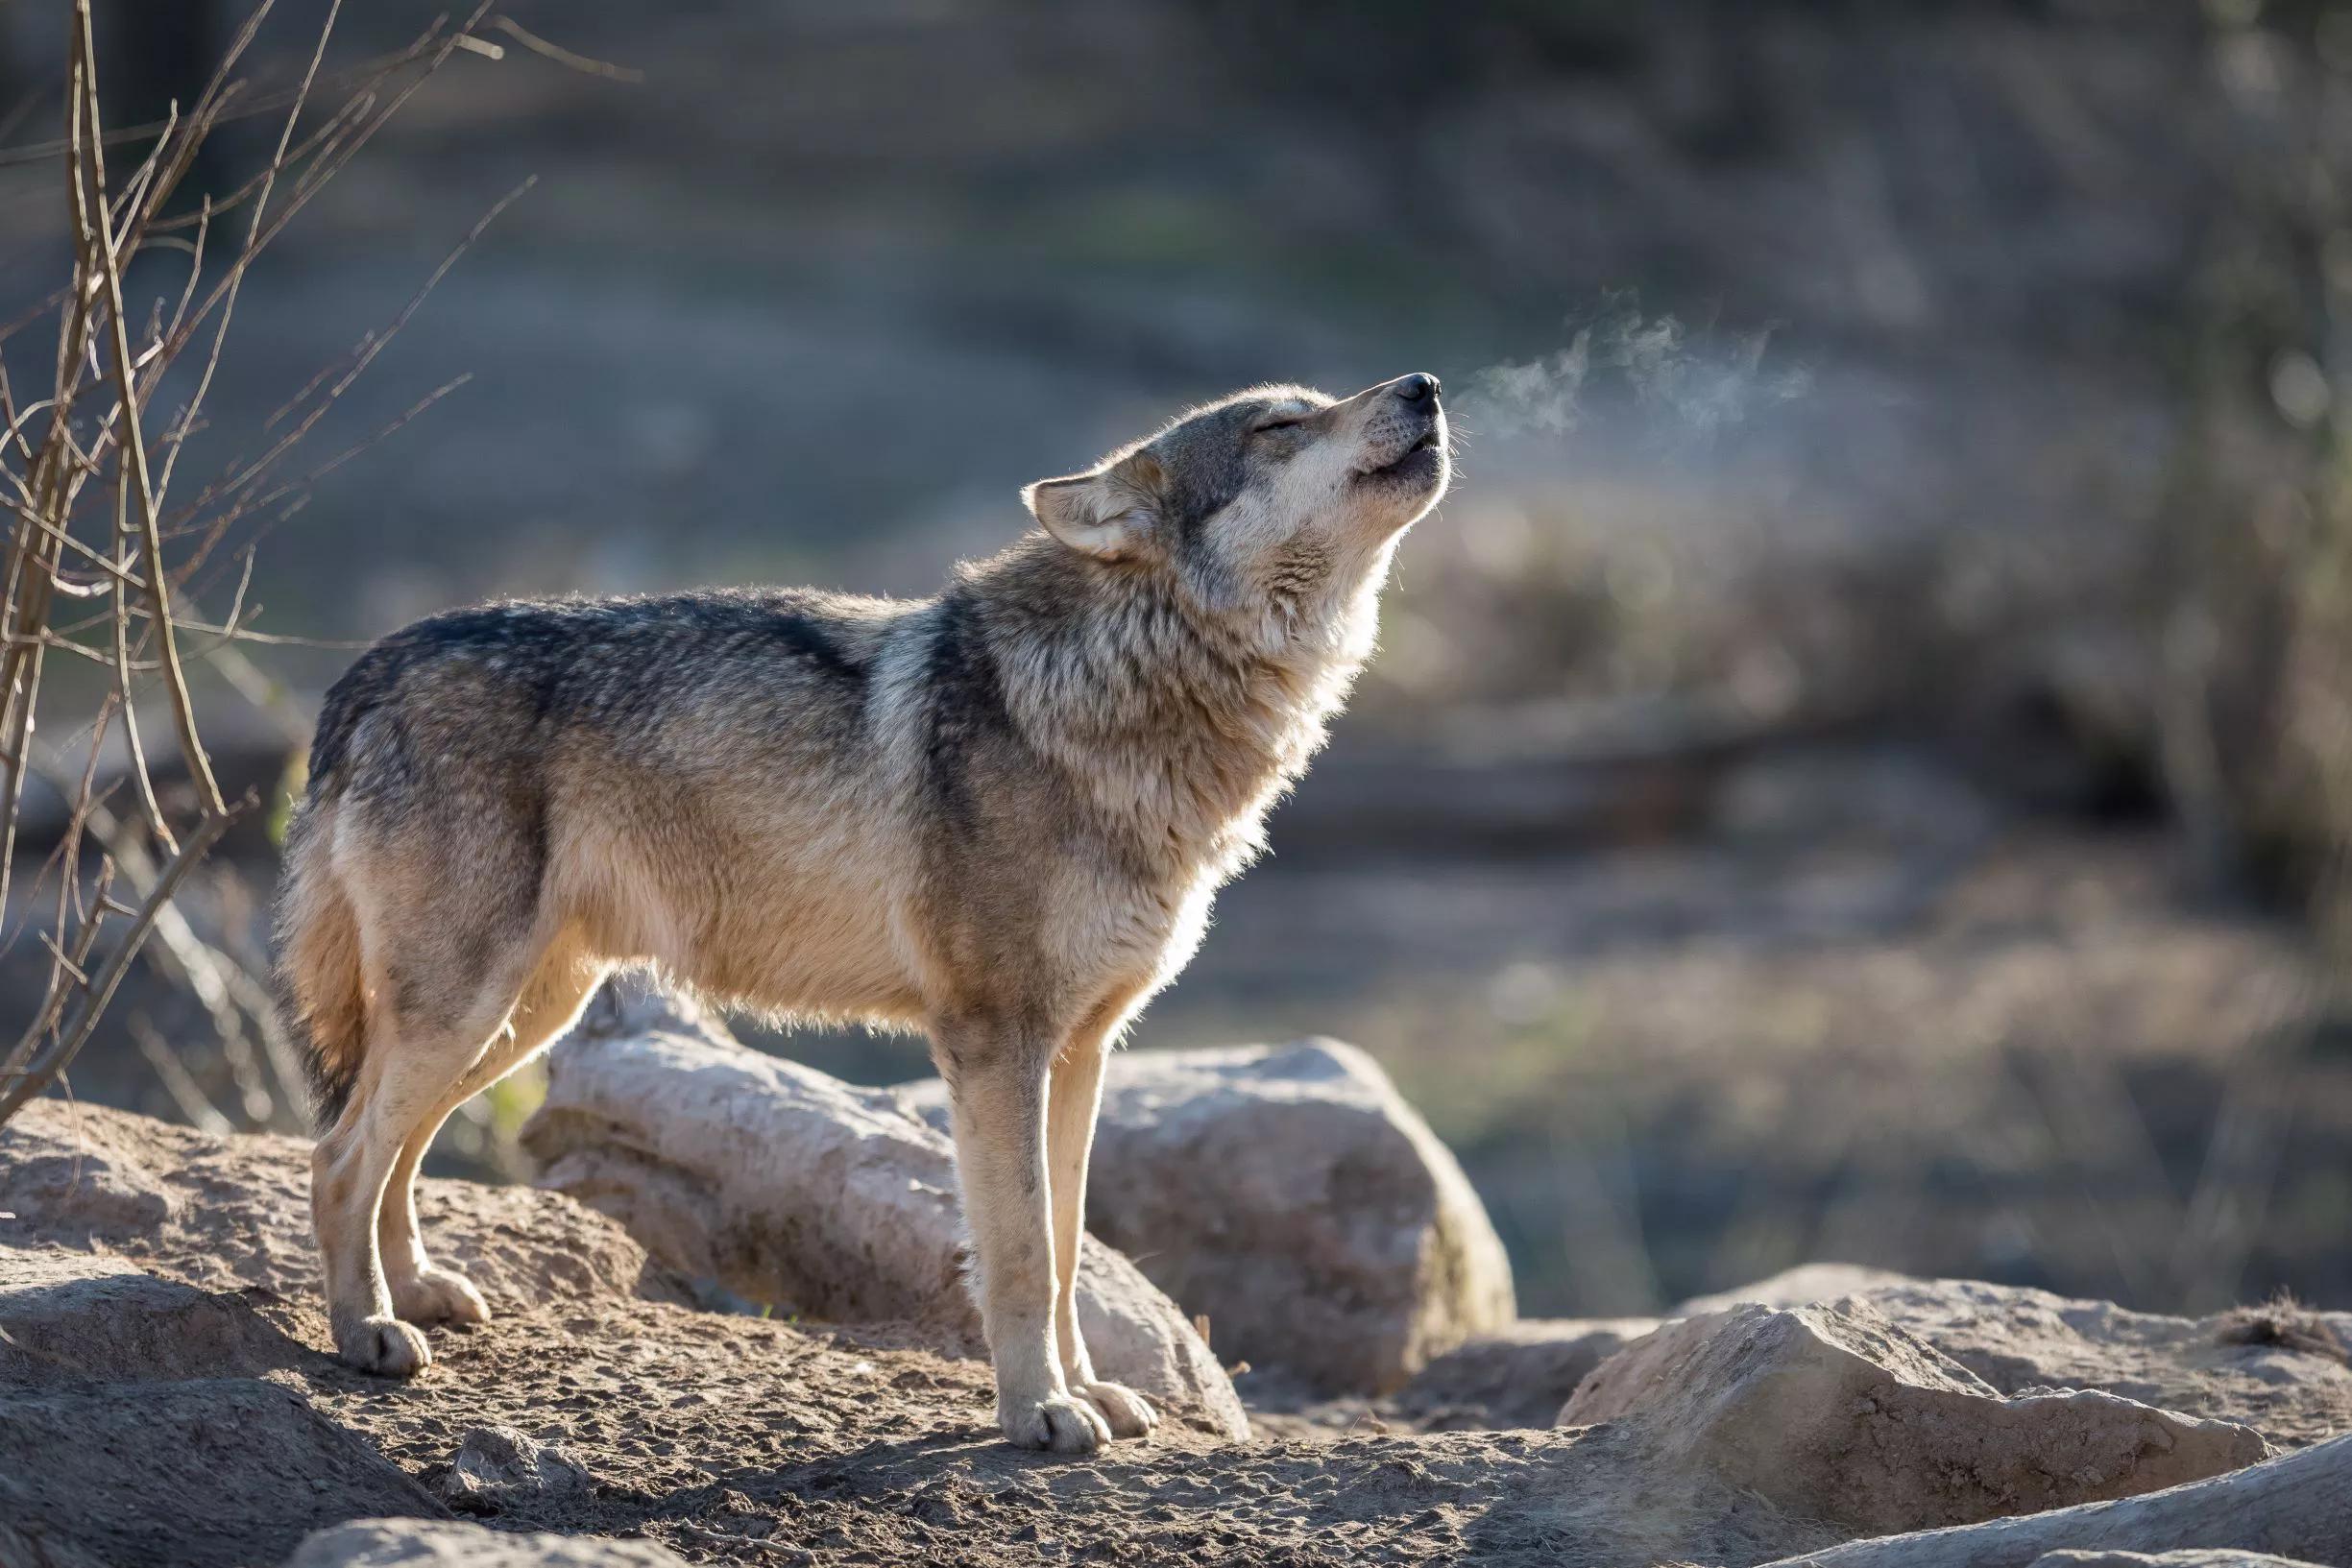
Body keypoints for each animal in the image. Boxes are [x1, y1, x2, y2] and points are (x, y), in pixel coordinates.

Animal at [275, 374, 1448, 1457]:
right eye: (1280, 426)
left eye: (1315, 401)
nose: (1424, 385)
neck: (1115, 690)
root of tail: (369, 667)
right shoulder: (993, 1043)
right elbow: (1022, 1252)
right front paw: (1038, 1411)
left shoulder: (1082, 1048)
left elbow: (1069, 1245)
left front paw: (1091, 1392)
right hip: (469, 1009)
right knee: (338, 1156)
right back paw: (365, 1333)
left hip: (520, 1015)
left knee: (394, 1150)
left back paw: (417, 1293)